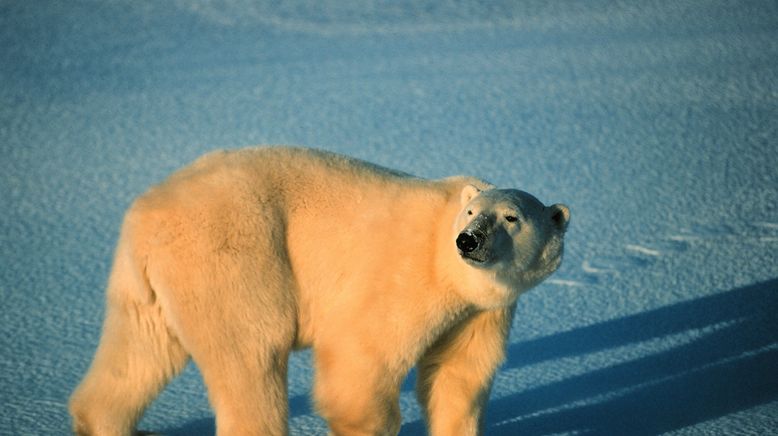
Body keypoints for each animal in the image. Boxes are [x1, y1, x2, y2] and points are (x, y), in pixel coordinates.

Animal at [69, 147, 568, 436]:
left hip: (147, 283)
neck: (445, 264)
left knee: (139, 351)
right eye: (470, 212)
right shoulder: (404, 273)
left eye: (511, 217)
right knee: (252, 350)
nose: (469, 241)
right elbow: (360, 356)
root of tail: (145, 214)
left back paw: (105, 423)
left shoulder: (483, 308)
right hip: (234, 254)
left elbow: (458, 374)